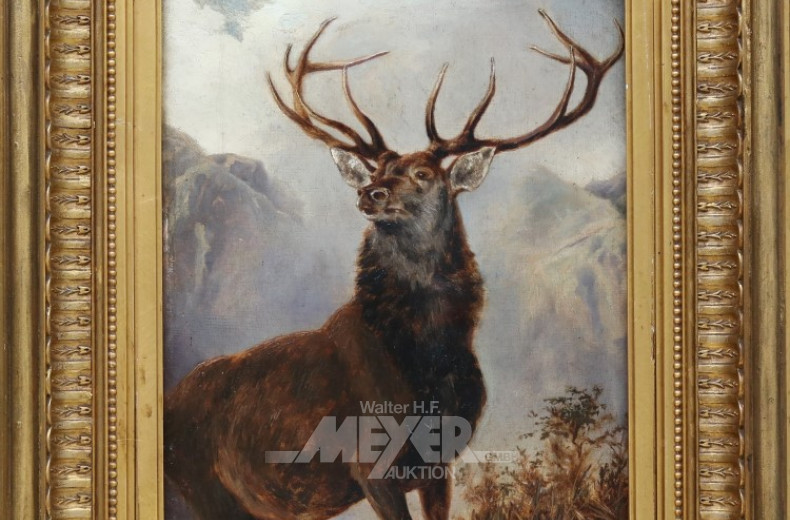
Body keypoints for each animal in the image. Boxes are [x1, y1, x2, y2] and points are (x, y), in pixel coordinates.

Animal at [165, 10, 623, 520]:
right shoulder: (370, 464)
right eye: (376, 171)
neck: (428, 367)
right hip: (203, 490)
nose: (370, 193)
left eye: (423, 173)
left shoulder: (439, 465)